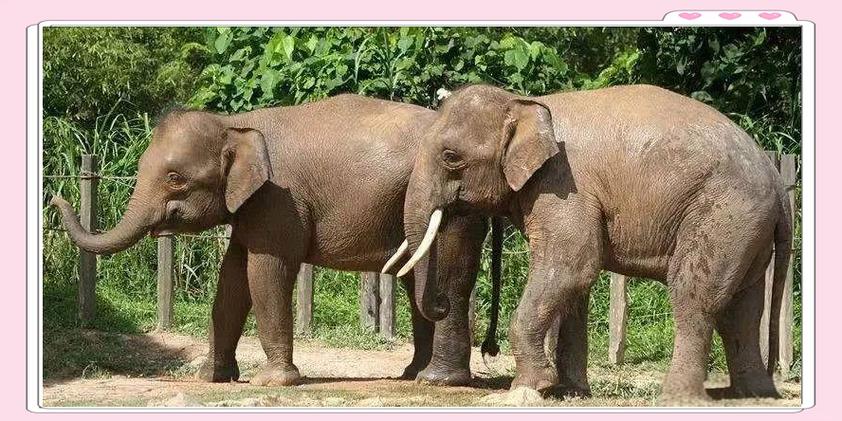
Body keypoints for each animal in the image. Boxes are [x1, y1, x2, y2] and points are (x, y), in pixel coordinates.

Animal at [51, 94, 503, 387]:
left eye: (175, 178)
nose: (55, 196)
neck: (234, 123)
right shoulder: (253, 208)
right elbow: (232, 279)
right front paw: (211, 378)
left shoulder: (277, 200)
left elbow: (265, 272)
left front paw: (274, 382)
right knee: (416, 283)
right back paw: (412, 376)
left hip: (457, 208)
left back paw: (434, 379)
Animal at [388, 84, 793, 401]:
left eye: (450, 157)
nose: (441, 303)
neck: (524, 104)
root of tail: (776, 180)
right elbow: (575, 283)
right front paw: (569, 392)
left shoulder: (564, 186)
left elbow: (571, 266)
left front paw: (529, 388)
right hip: (747, 229)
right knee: (742, 308)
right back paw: (751, 395)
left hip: (723, 214)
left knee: (695, 296)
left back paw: (678, 397)